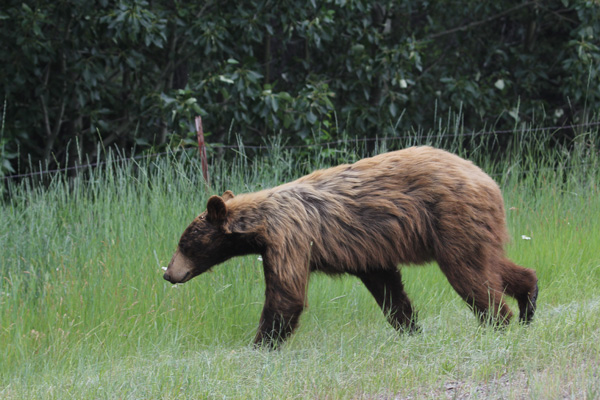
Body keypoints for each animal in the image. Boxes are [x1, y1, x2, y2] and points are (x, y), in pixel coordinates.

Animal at [163, 146, 540, 346]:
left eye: (185, 243)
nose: (169, 274)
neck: (260, 225)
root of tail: (487, 179)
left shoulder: (289, 238)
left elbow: (286, 294)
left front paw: (260, 345)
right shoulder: (366, 250)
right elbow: (386, 284)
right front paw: (410, 328)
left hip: (451, 219)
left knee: (470, 275)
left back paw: (498, 322)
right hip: (474, 227)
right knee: (493, 264)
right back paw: (528, 301)